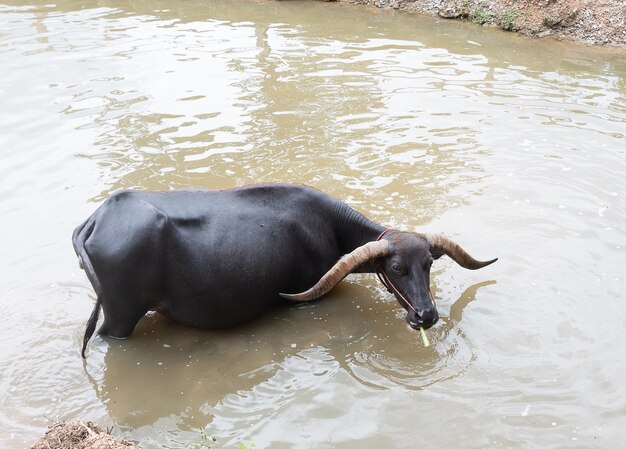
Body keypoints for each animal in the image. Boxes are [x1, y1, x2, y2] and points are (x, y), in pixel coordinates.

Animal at [72, 184, 492, 356]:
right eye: (397, 266)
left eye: (428, 264)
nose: (427, 315)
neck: (329, 226)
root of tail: (95, 220)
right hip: (120, 318)